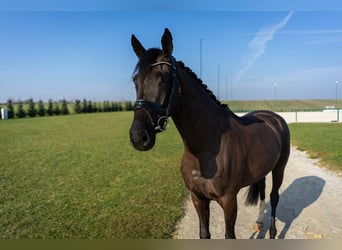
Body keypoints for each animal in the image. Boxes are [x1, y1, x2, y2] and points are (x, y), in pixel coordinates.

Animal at [130, 28, 290, 238]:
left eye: (163, 77)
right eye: (135, 80)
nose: (138, 137)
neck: (207, 148)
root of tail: (275, 118)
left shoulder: (229, 201)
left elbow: (229, 235)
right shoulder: (198, 198)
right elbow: (204, 233)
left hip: (279, 168)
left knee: (274, 196)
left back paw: (271, 231)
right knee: (263, 189)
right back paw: (258, 223)